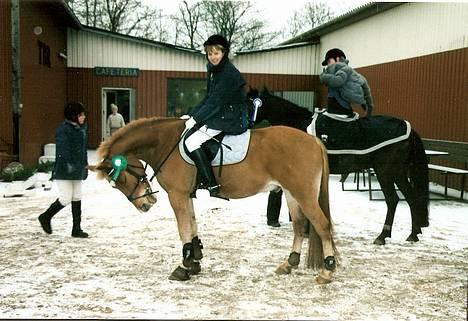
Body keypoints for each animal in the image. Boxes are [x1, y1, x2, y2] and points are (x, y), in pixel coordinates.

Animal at [88, 117, 336, 282]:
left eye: (121, 179)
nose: (145, 205)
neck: (165, 142)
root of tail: (313, 140)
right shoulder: (186, 195)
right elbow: (192, 224)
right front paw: (194, 260)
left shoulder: (176, 194)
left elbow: (183, 228)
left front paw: (184, 266)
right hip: (291, 194)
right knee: (299, 226)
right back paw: (288, 264)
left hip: (303, 195)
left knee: (322, 226)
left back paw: (327, 271)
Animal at [247, 86, 430, 244]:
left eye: (250, 102)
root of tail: (409, 130)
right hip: (398, 173)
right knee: (411, 198)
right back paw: (413, 234)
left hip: (385, 172)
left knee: (392, 200)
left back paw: (382, 236)